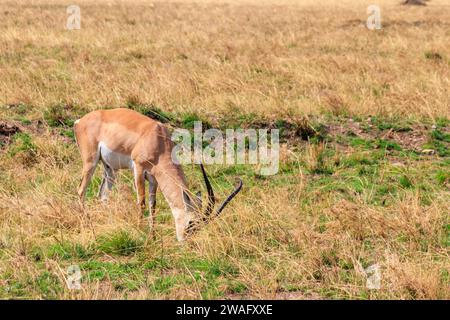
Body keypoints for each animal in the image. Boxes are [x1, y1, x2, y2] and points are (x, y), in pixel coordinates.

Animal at [74, 107, 243, 240]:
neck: (158, 140)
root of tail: (80, 121)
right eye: (191, 223)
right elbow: (141, 202)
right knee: (81, 190)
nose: (186, 241)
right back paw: (86, 224)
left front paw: (152, 236)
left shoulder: (154, 178)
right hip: (90, 162)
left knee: (102, 195)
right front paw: (139, 232)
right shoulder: (139, 169)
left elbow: (152, 205)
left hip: (109, 168)